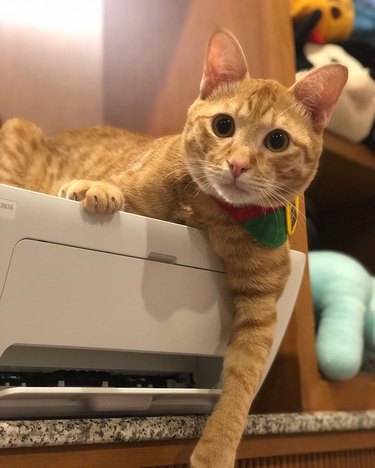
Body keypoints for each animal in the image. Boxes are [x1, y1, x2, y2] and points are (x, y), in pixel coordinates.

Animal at [0, 31, 346, 466]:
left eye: (277, 140)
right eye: (223, 125)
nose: (237, 165)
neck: (212, 216)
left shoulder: (261, 313)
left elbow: (241, 385)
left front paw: (217, 449)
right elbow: (116, 184)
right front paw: (93, 187)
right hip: (18, 129)